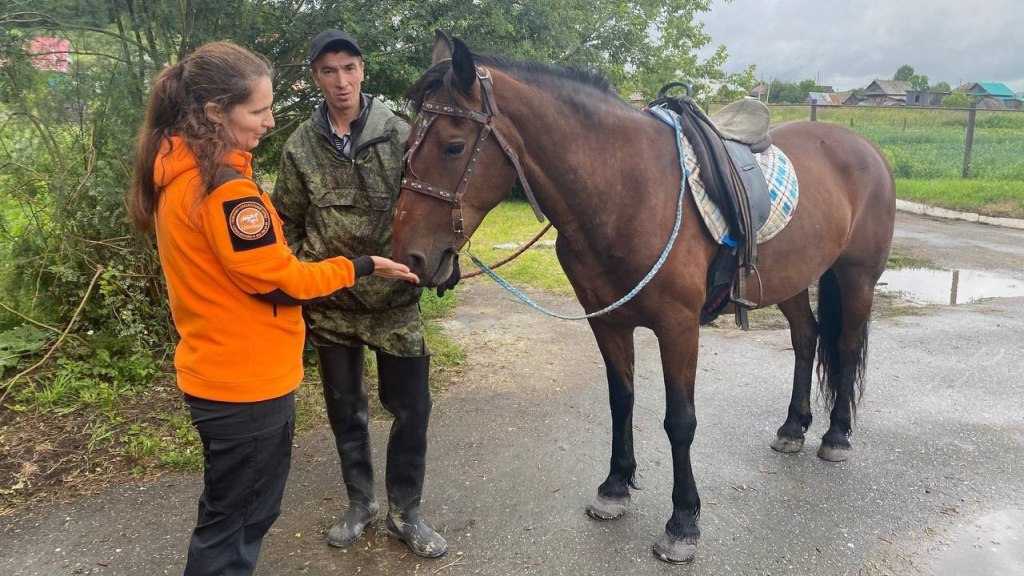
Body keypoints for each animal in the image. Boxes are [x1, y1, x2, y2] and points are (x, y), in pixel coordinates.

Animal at [391, 33, 897, 561]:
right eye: (407, 144)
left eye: (453, 146)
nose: (408, 256)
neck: (625, 191)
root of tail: (867, 149)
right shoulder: (607, 321)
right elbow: (622, 400)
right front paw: (615, 487)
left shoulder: (678, 328)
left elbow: (681, 421)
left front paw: (683, 522)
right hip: (793, 280)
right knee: (806, 338)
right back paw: (793, 428)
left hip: (857, 277)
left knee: (844, 346)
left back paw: (836, 435)